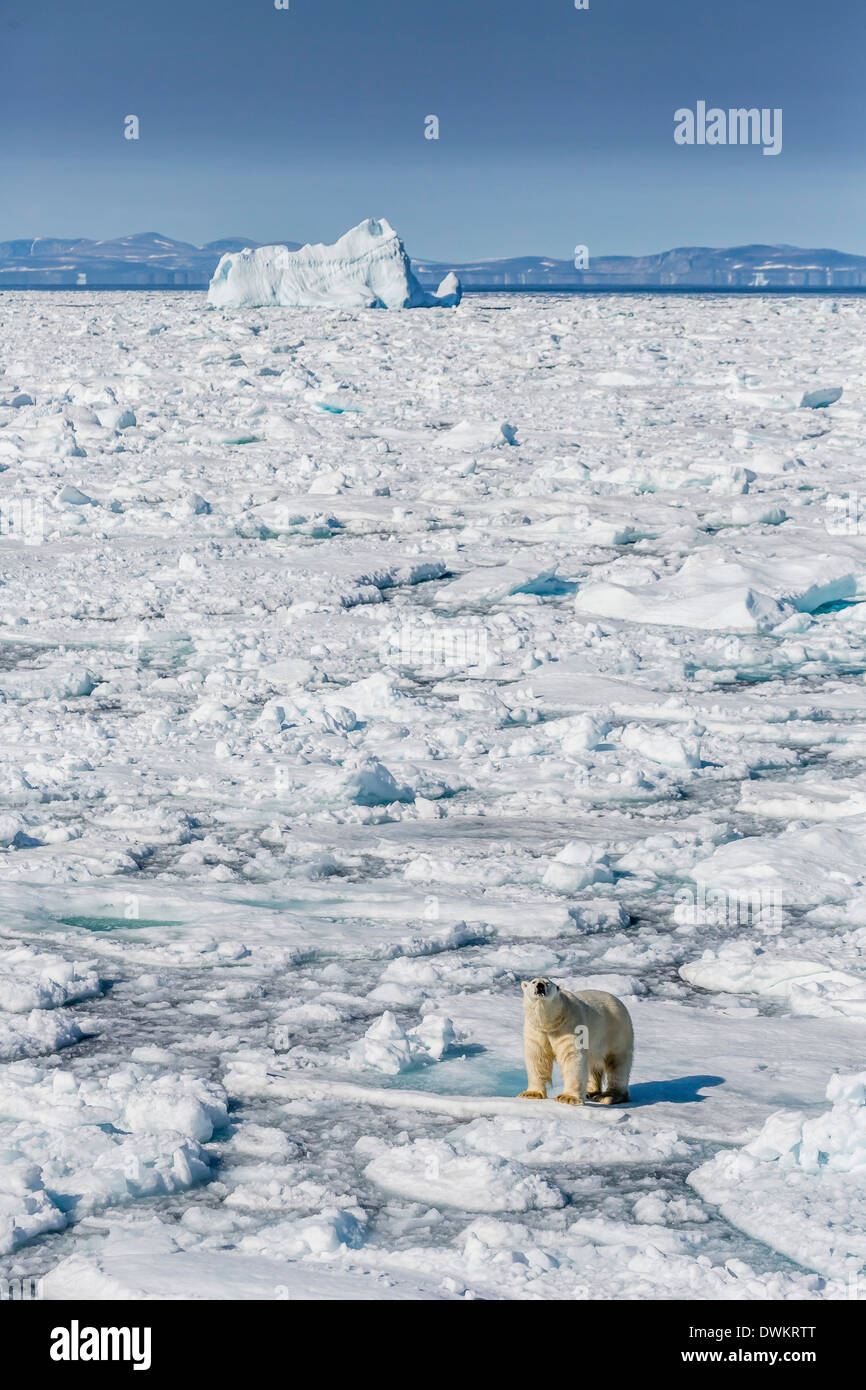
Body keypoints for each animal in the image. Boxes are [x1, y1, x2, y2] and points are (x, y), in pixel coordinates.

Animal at [517, 978, 633, 1106]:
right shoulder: (536, 1031)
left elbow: (571, 1056)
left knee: (617, 1063)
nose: (540, 986)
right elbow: (537, 1057)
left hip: (616, 1030)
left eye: (548, 983)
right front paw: (531, 1093)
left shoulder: (570, 1026)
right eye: (533, 982)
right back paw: (590, 1092)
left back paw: (609, 1096)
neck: (550, 1023)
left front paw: (567, 1098)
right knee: (592, 1064)